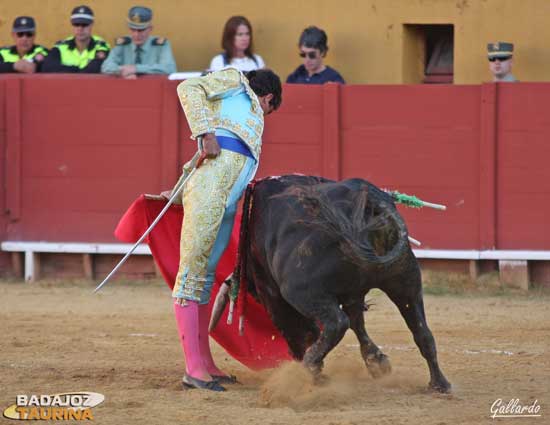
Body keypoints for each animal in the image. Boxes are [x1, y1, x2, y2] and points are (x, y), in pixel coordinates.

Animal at [224, 173, 452, 390]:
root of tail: (369, 200)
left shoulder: (272, 294)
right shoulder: (354, 292)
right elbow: (357, 322)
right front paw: (377, 362)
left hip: (300, 291)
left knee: (337, 322)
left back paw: (309, 366)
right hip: (406, 279)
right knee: (421, 331)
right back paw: (439, 383)